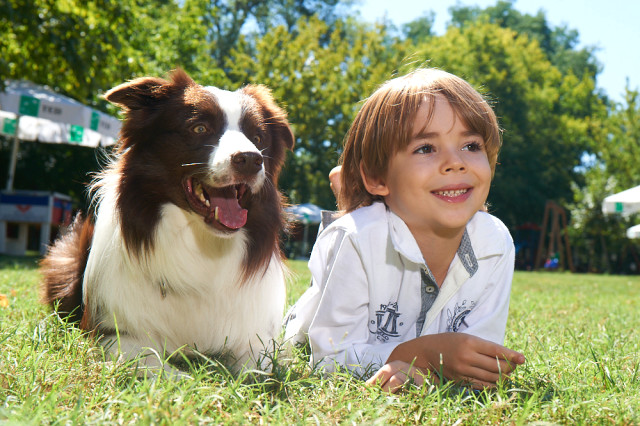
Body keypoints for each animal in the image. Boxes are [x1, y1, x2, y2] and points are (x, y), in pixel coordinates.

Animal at [41, 68, 296, 374]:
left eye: (257, 138)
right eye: (199, 128)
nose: (250, 159)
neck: (204, 247)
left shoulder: (254, 339)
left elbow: (259, 370)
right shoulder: (112, 334)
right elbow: (158, 365)